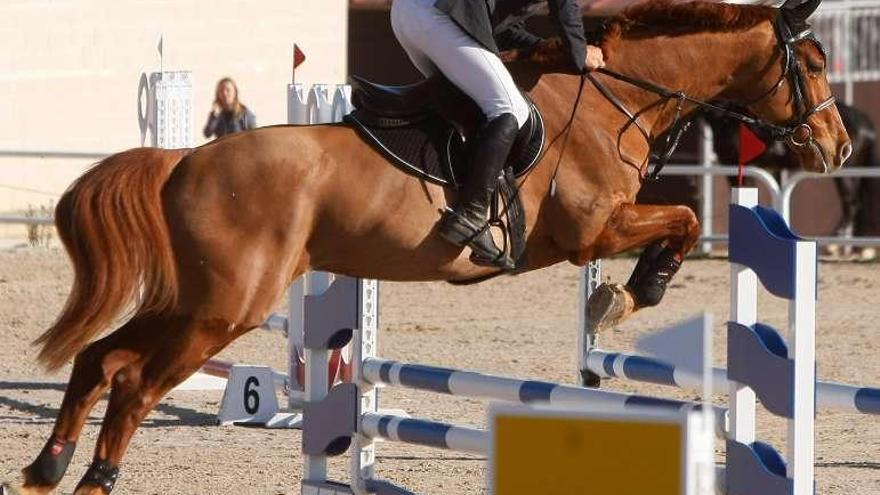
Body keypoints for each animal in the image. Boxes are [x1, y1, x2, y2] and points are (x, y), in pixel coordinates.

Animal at [3, 0, 848, 495]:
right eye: (810, 64)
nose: (839, 147)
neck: (613, 97)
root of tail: (186, 160)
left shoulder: (603, 225)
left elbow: (678, 219)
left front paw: (619, 298)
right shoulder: (594, 228)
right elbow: (680, 219)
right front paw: (630, 292)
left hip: (195, 301)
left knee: (99, 359)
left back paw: (47, 467)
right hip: (223, 309)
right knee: (133, 382)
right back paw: (94, 477)